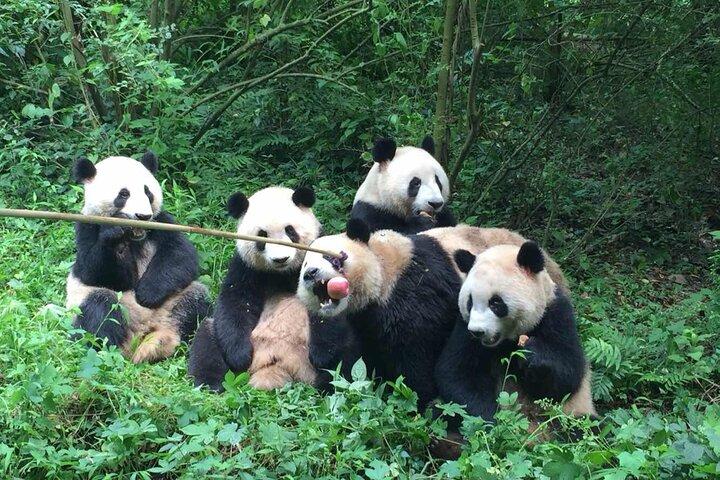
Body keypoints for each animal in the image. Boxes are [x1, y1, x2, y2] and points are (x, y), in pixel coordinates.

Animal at [66, 152, 211, 363]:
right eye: (123, 194)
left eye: (147, 192)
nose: (143, 216)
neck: (135, 237)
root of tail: (142, 332)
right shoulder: (87, 226)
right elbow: (93, 272)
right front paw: (115, 237)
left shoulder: (162, 222)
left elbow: (180, 255)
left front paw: (146, 294)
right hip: (93, 306)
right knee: (100, 308)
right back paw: (110, 350)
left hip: (172, 303)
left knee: (195, 302)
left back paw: (167, 344)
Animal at [188, 186, 324, 392]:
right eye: (262, 235)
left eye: (290, 231)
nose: (281, 259)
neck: (283, 273)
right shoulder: (246, 267)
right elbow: (236, 302)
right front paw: (241, 356)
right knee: (207, 338)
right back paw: (210, 384)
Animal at [435, 241, 596, 427]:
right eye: (470, 302)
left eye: (495, 302)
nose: (477, 332)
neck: (506, 342)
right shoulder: (463, 328)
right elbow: (457, 374)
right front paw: (491, 422)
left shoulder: (555, 313)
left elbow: (568, 374)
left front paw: (532, 353)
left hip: (571, 415)